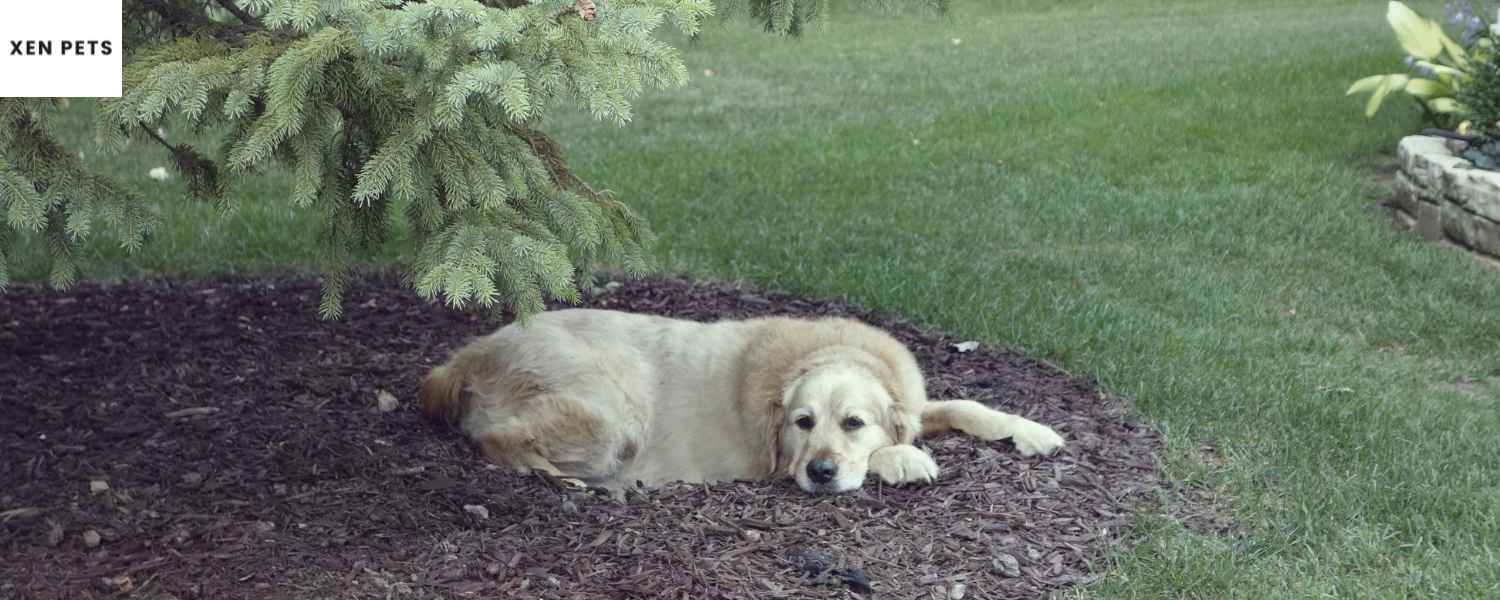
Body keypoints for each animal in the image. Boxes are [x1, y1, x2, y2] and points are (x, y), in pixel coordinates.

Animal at [417, 307, 1062, 495]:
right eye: (802, 422)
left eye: (853, 421)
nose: (820, 473)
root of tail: (468, 354)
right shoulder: (775, 467)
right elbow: (895, 449)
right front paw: (903, 459)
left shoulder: (917, 399)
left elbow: (965, 406)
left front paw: (1031, 430)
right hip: (611, 413)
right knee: (497, 438)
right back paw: (565, 478)